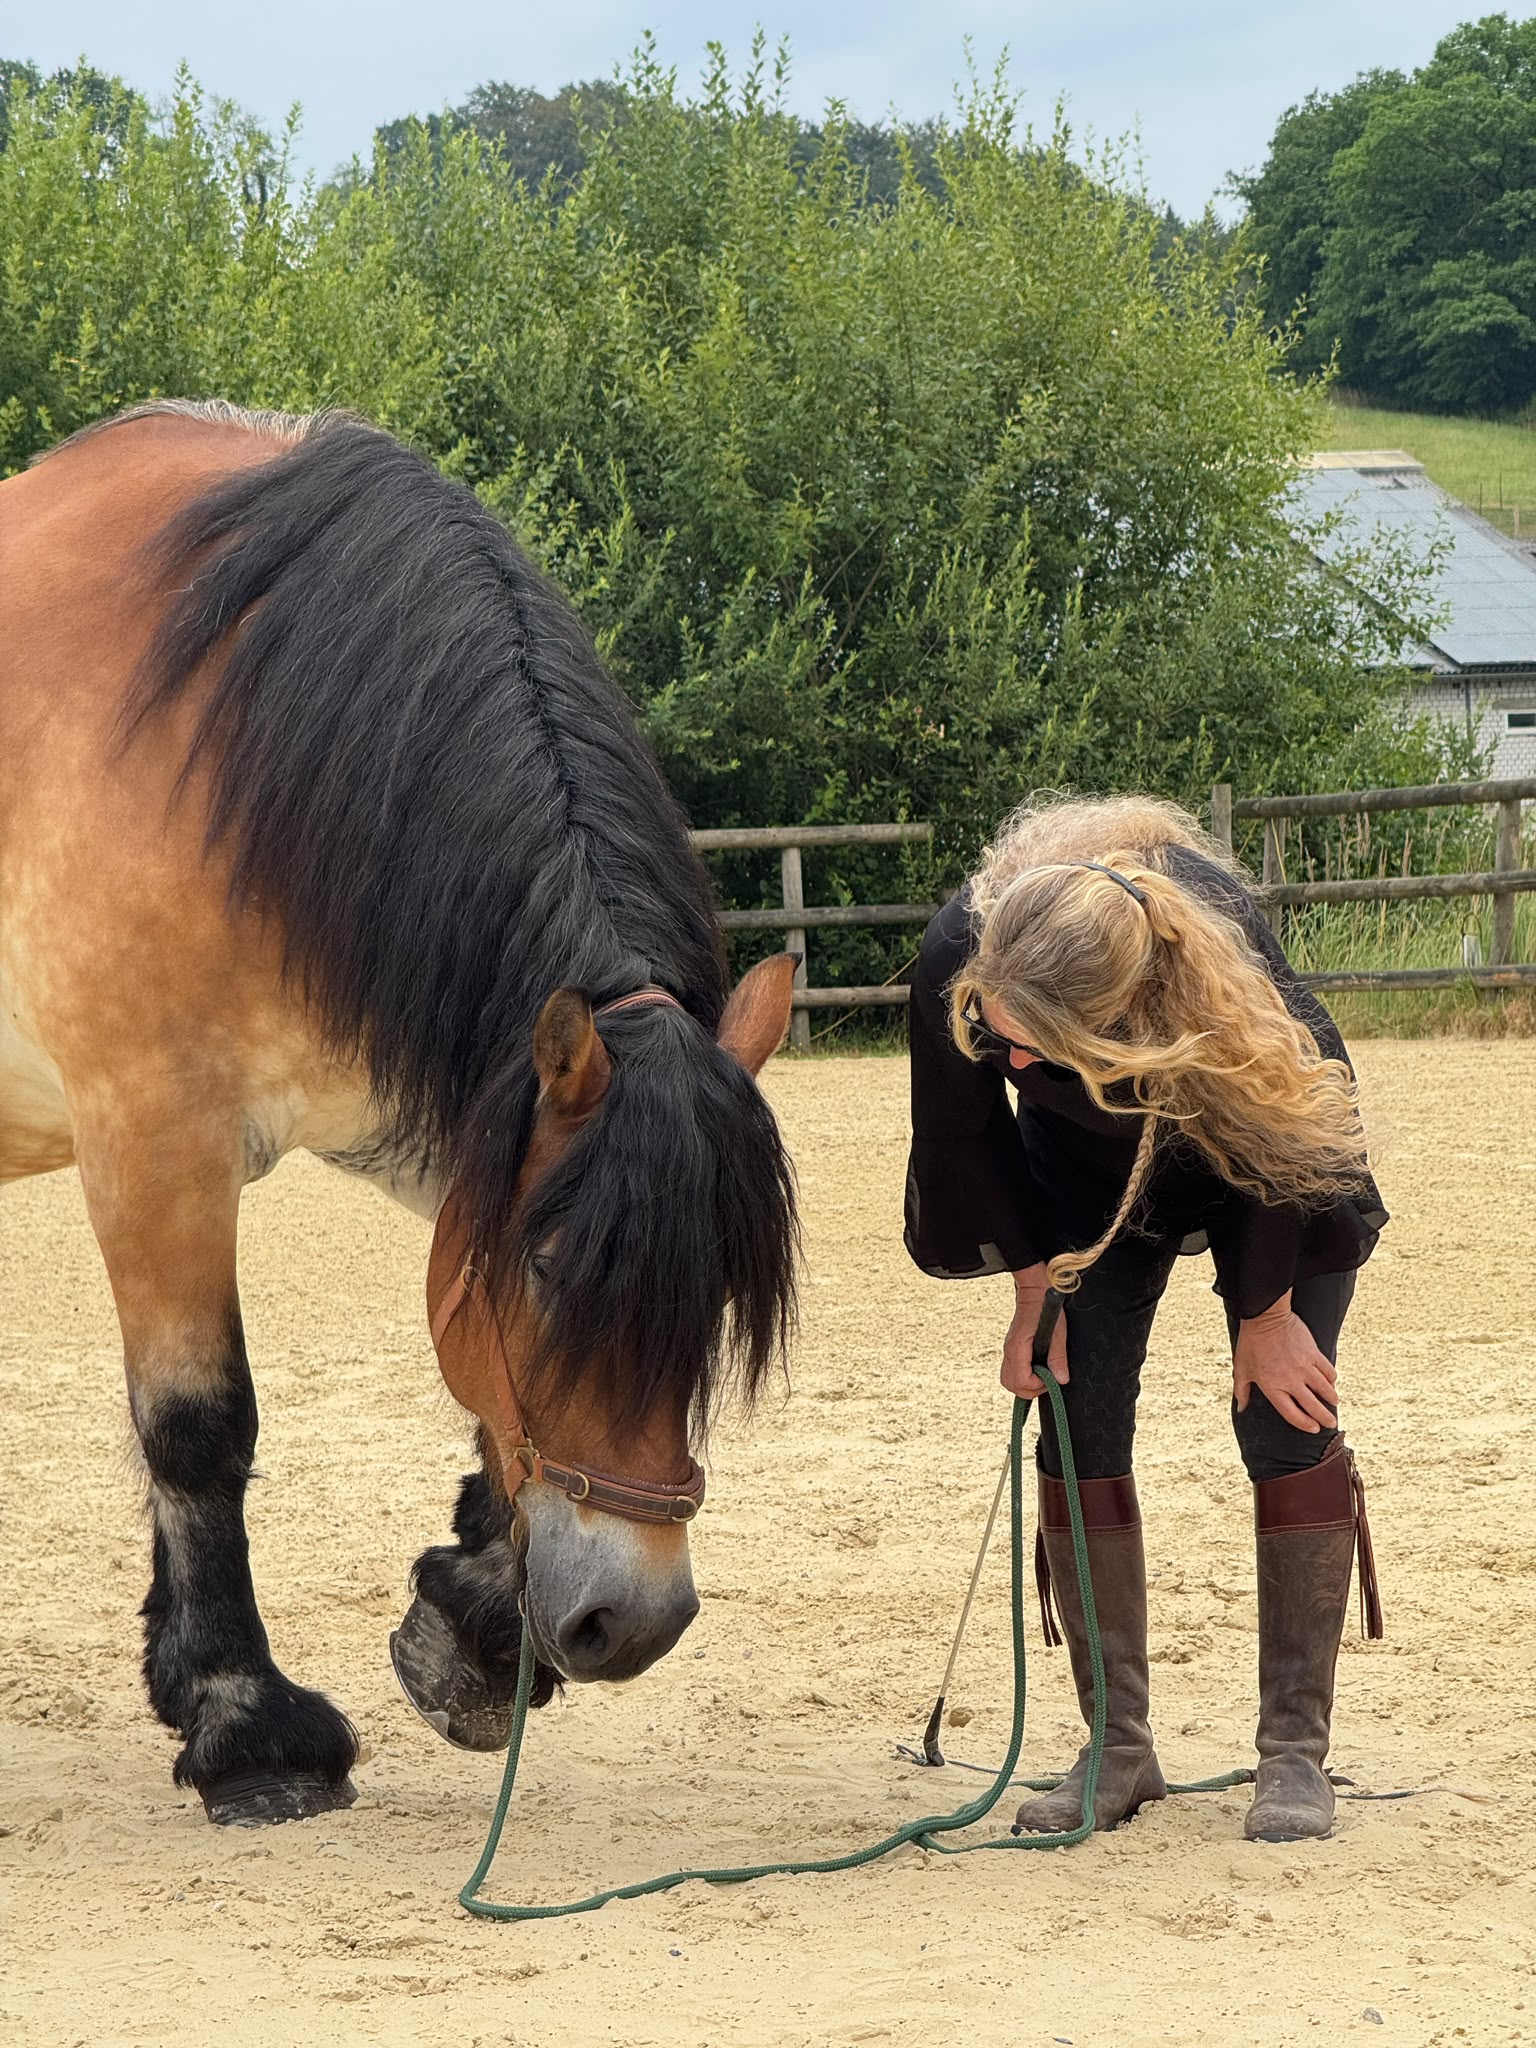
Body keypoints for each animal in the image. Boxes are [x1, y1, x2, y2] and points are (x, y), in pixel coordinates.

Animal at [0, 401, 799, 1827]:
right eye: (555, 1266)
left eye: (714, 1288)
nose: (633, 1619)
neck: (221, 729)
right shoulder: (154, 1142)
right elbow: (197, 1423)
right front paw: (248, 1724)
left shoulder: (444, 1112)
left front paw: (472, 1628)